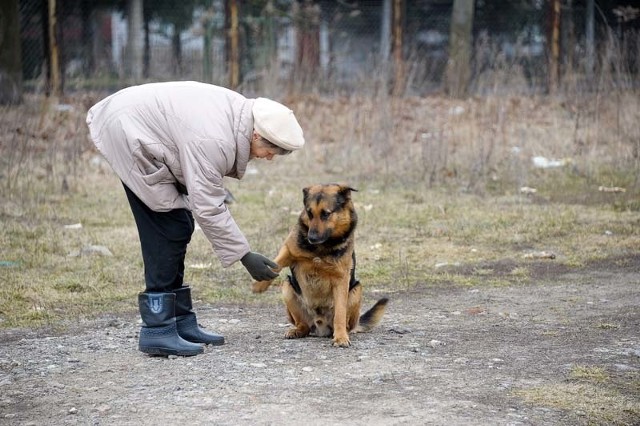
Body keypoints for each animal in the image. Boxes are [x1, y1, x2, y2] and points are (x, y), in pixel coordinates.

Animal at [252, 183, 388, 346]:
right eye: (309, 213)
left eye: (326, 214)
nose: (311, 238)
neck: (322, 246)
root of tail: (320, 327)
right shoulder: (288, 250)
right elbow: (275, 264)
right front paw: (260, 284)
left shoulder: (341, 279)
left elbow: (340, 314)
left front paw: (341, 337)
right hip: (287, 288)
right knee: (303, 325)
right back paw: (297, 330)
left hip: (357, 290)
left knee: (345, 323)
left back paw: (341, 332)